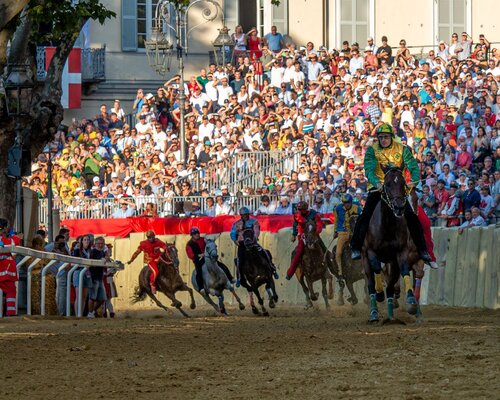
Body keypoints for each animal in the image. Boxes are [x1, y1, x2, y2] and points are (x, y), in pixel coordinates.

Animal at [362, 167, 420, 324]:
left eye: (403, 184)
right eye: (387, 184)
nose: (399, 207)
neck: (387, 225)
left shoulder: (401, 252)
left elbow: (405, 270)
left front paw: (411, 301)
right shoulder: (371, 251)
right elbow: (376, 267)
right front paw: (379, 293)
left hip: (392, 263)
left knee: (390, 287)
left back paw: (391, 316)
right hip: (365, 259)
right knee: (370, 283)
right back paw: (374, 313)